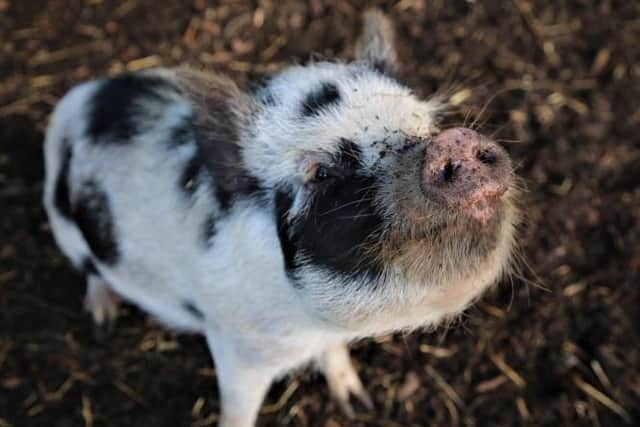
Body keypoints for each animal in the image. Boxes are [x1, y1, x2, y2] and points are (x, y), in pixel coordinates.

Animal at [41, 10, 520, 427]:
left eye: (424, 127)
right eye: (320, 173)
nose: (453, 141)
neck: (312, 324)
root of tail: (78, 97)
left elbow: (335, 355)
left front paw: (357, 405)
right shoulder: (234, 347)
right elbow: (238, 409)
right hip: (65, 230)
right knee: (93, 272)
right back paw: (102, 319)